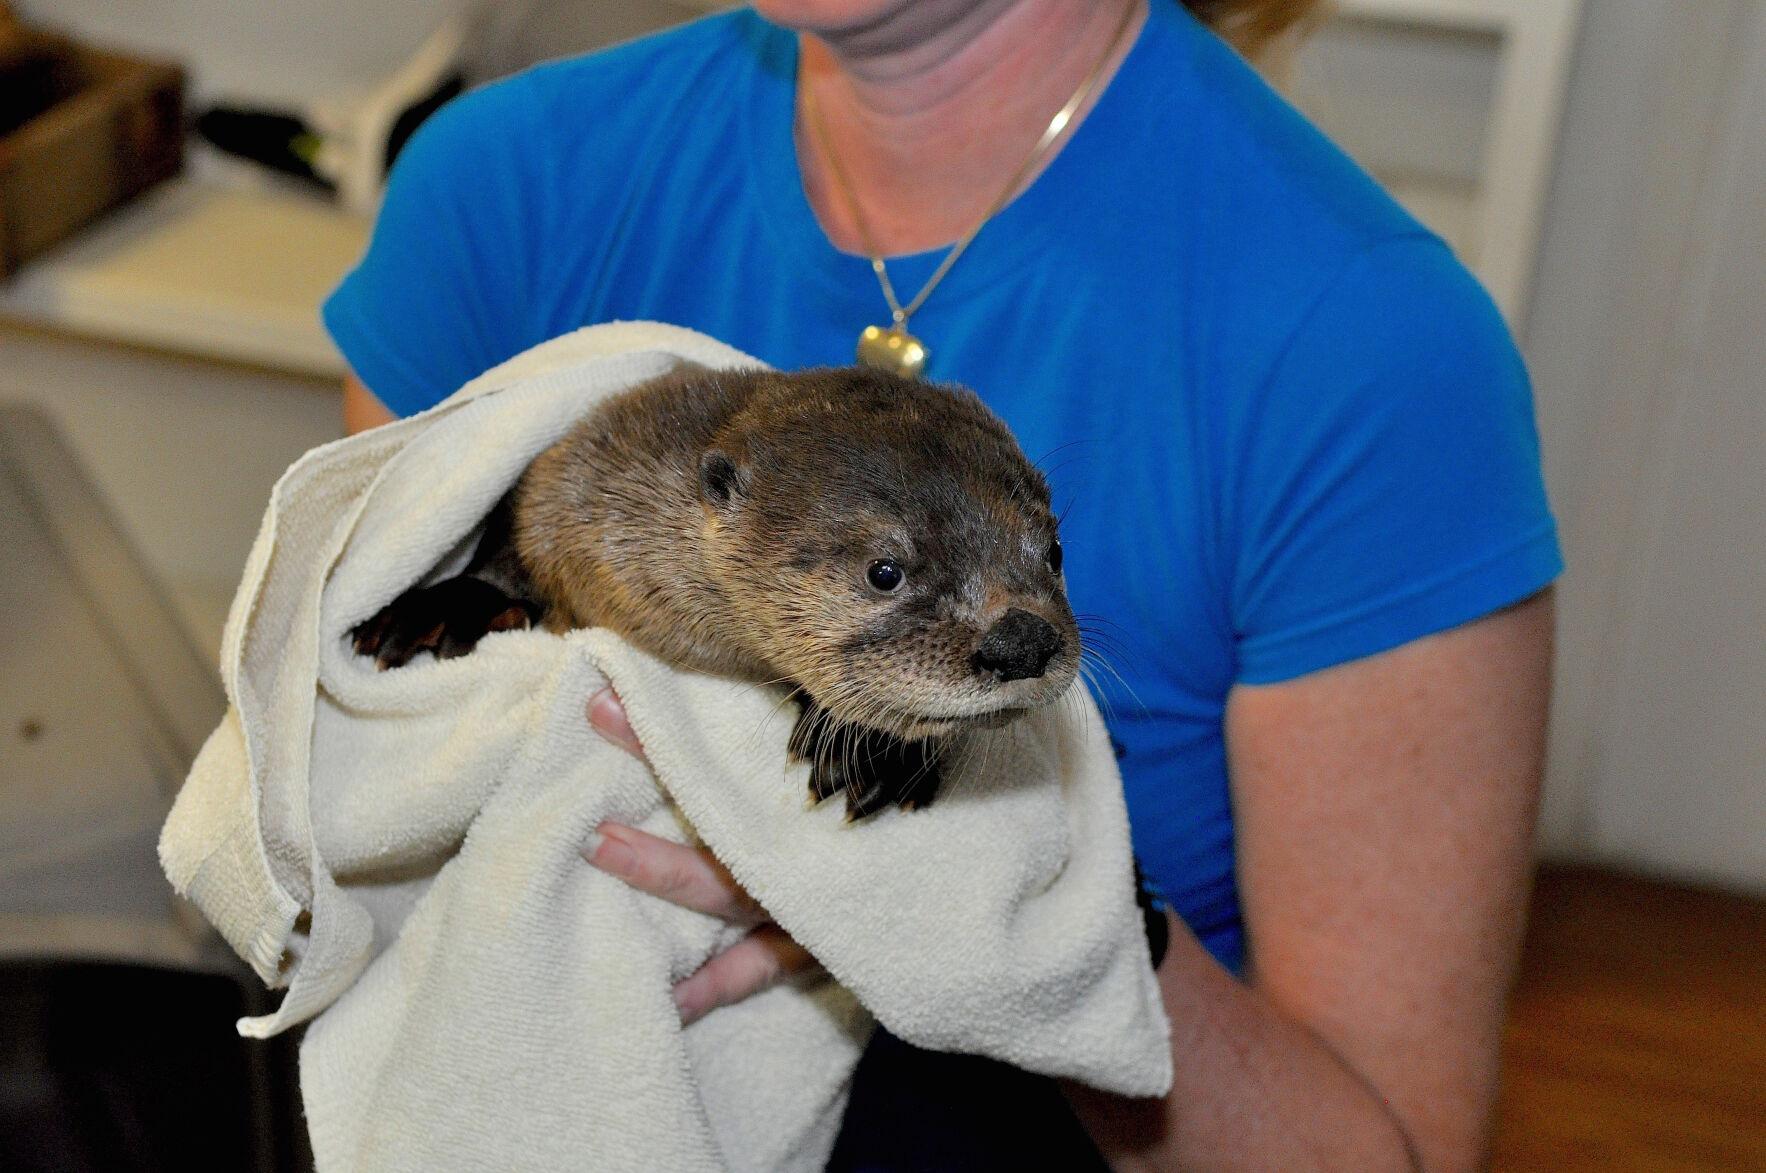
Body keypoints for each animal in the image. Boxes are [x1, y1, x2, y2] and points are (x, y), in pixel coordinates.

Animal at [351, 365, 1080, 820]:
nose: (1023, 640)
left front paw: (882, 753)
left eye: (1053, 551)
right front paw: (454, 603)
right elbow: (508, 523)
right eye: (885, 571)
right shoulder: (568, 464)